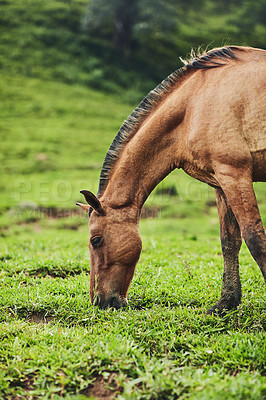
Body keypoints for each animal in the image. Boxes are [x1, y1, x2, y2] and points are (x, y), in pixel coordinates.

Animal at [77, 47, 266, 314]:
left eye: (96, 240)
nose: (100, 301)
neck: (193, 106)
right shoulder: (221, 182)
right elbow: (229, 241)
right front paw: (226, 302)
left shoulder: (234, 173)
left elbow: (254, 238)